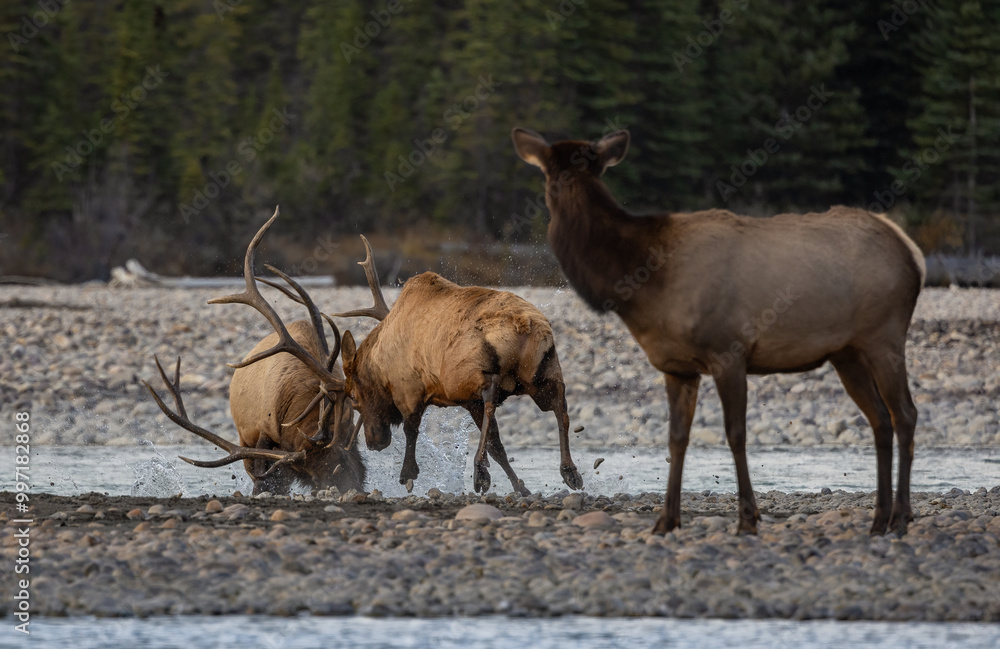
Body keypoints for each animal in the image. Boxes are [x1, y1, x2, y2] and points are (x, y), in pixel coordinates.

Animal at [144, 207, 365, 496]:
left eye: (342, 457)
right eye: (312, 476)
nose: (353, 487)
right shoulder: (264, 433)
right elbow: (265, 478)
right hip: (245, 439)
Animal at [333, 236, 583, 496]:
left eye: (354, 396)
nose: (373, 442)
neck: (379, 366)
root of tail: (523, 324)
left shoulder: (410, 390)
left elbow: (411, 430)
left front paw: (408, 474)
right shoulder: (460, 400)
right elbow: (497, 447)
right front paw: (520, 487)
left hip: (469, 377)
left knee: (492, 398)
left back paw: (479, 470)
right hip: (542, 372)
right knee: (559, 405)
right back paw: (570, 472)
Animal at [513, 127, 925, 536]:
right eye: (550, 173)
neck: (644, 282)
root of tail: (912, 251)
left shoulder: (730, 350)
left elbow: (736, 434)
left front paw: (747, 519)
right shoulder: (677, 367)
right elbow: (676, 439)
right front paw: (666, 520)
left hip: (884, 335)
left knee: (905, 414)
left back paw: (902, 516)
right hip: (847, 353)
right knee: (880, 420)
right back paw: (879, 519)